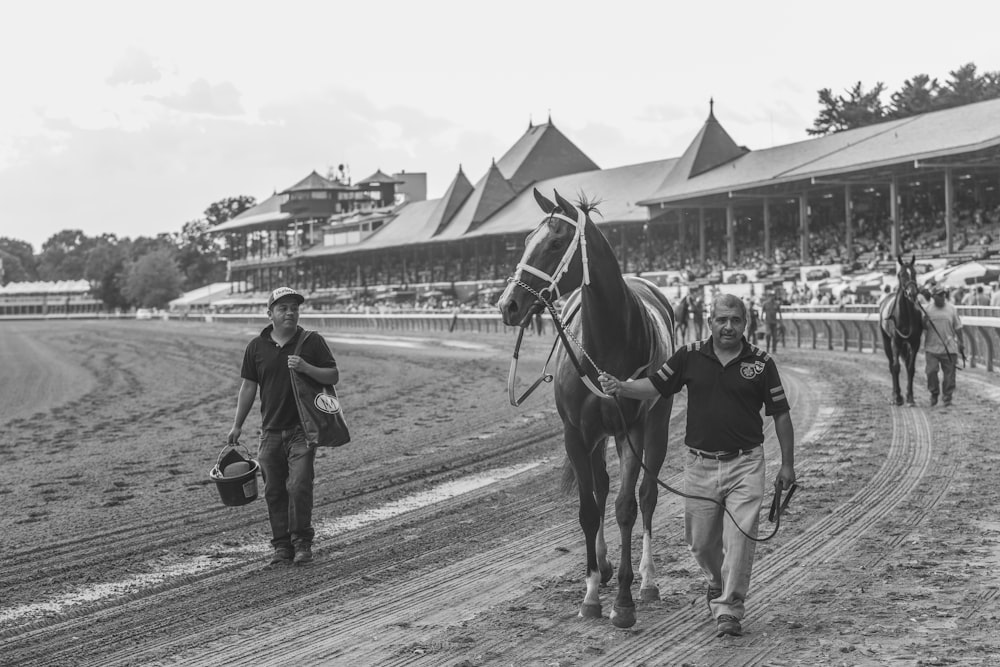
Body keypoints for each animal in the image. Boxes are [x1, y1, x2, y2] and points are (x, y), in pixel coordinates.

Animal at [496, 189, 676, 632]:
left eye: (555, 242)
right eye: (526, 239)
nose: (508, 305)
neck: (608, 341)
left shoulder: (632, 428)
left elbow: (626, 507)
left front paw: (624, 602)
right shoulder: (577, 433)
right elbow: (589, 509)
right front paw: (593, 591)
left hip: (657, 422)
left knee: (647, 495)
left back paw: (647, 580)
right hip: (598, 436)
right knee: (600, 486)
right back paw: (606, 566)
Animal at [880, 254, 924, 402]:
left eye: (915, 273)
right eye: (901, 274)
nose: (912, 293)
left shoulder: (915, 342)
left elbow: (910, 367)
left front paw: (910, 397)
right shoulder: (896, 341)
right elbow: (895, 367)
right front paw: (898, 396)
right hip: (886, 340)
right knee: (891, 364)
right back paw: (895, 394)